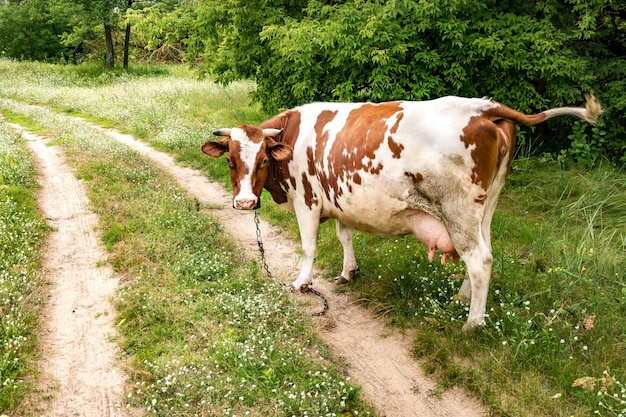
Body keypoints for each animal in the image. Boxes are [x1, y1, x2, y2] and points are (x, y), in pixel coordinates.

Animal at [200, 95, 600, 328]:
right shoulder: (340, 199)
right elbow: (345, 235)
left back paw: (473, 322)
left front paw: (302, 283)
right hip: (485, 207)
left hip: (458, 209)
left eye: (264, 159)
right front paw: (348, 272)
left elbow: (309, 247)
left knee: (480, 259)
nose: (245, 203)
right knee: (483, 252)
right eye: (231, 161)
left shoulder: (308, 201)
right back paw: (462, 298)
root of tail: (482, 107)